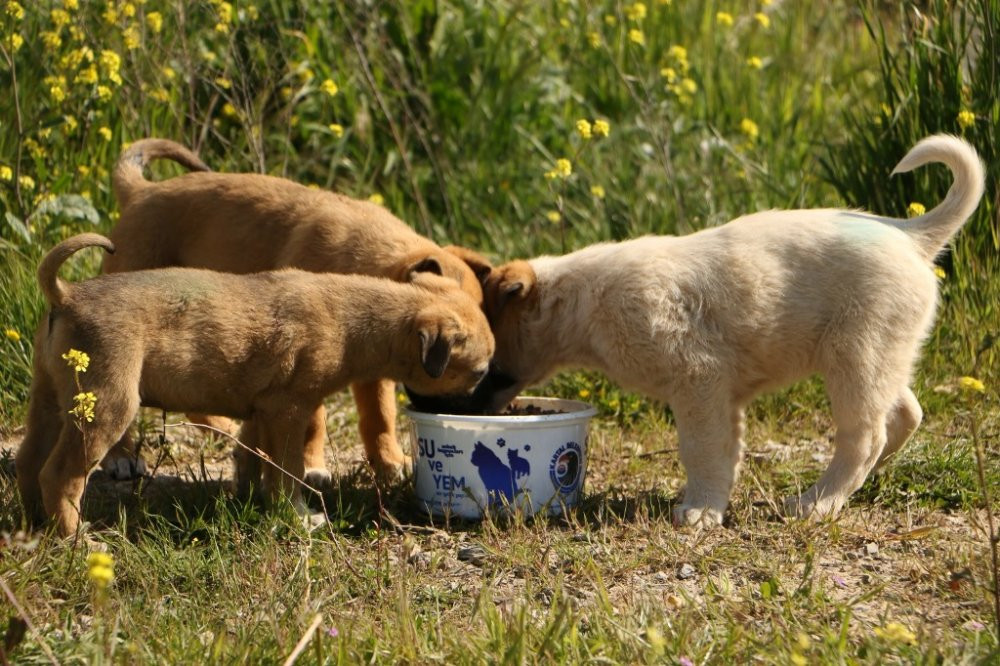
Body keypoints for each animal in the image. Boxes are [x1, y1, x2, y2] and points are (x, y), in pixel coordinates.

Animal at [17, 233, 494, 536]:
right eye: (479, 372)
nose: (484, 407)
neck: (357, 319)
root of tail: (67, 295)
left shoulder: (261, 411)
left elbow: (251, 458)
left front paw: (248, 498)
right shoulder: (288, 411)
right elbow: (287, 471)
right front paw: (296, 514)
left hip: (49, 401)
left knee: (29, 462)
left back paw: (33, 522)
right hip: (107, 407)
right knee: (60, 475)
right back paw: (75, 539)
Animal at [101, 139, 492, 482]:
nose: (476, 407)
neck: (366, 256)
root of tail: (142, 192)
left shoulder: (374, 361)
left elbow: (379, 416)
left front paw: (390, 462)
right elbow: (314, 420)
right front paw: (312, 465)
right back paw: (122, 457)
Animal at [470, 135, 984, 528]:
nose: (463, 407)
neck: (586, 301)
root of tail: (911, 235)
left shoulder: (699, 382)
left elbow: (702, 451)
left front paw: (699, 511)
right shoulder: (723, 396)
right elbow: (724, 452)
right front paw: (711, 502)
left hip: (856, 357)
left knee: (864, 437)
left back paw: (817, 503)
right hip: (882, 358)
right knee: (905, 414)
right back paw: (867, 479)